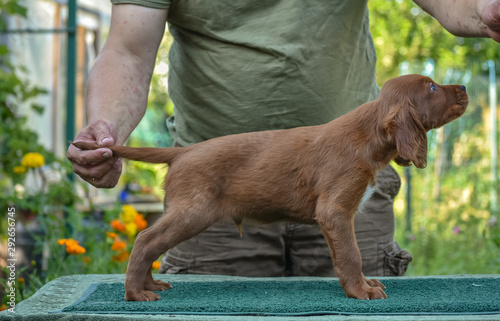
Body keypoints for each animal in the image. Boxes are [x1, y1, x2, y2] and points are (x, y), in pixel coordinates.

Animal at [72, 74, 466, 300]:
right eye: (432, 87)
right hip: (193, 212)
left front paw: (357, 286)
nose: (463, 87)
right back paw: (136, 293)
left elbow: (342, 257)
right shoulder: (336, 211)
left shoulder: (335, 218)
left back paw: (150, 285)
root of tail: (183, 150)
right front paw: (361, 291)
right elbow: (352, 255)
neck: (366, 134)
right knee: (145, 240)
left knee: (152, 243)